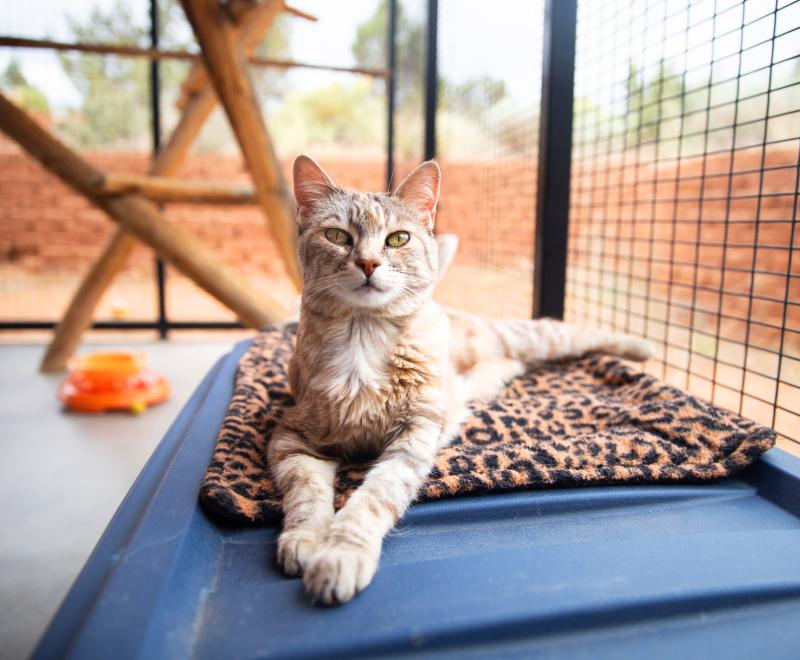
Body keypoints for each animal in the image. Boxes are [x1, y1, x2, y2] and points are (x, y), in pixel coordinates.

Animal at [268, 155, 648, 604]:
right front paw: (305, 540)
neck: (363, 338)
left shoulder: (413, 439)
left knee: (568, 333)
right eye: (337, 236)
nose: (368, 264)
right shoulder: (291, 438)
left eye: (398, 238)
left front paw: (341, 555)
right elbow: (306, 494)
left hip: (525, 336)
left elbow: (374, 498)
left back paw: (641, 346)